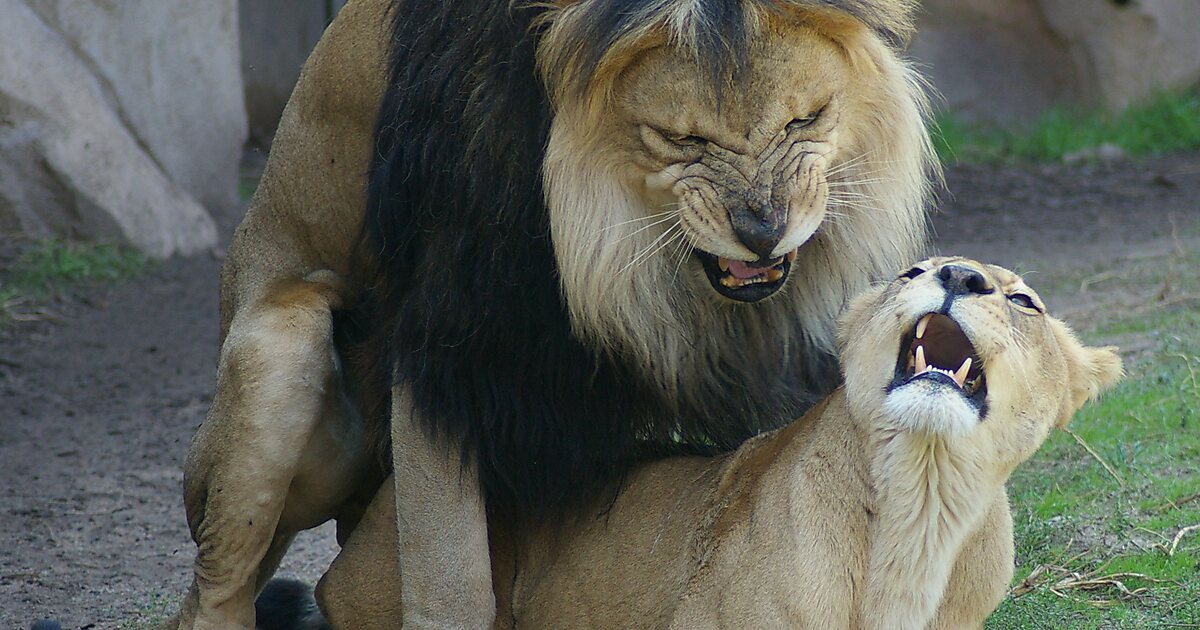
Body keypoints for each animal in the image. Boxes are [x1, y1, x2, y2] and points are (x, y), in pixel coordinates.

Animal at [171, 2, 936, 624]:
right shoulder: (444, 336)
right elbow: (448, 571)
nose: (762, 230)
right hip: (284, 341)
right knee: (217, 592)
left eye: (805, 118)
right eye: (682, 139)